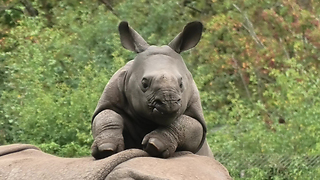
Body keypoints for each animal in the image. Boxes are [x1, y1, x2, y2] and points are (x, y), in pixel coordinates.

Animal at [91, 20, 214, 159]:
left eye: (181, 84)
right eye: (144, 83)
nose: (168, 102)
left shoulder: (197, 117)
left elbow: (184, 124)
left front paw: (154, 145)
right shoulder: (111, 96)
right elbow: (106, 115)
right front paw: (106, 149)